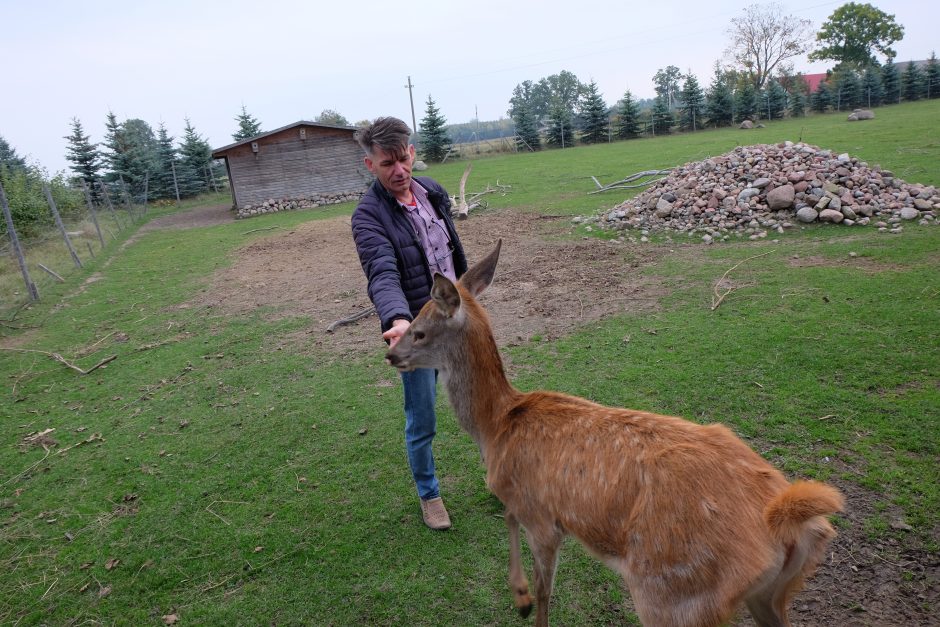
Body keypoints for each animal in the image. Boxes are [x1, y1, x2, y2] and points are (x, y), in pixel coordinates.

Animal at [384, 242, 844, 627]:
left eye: (420, 330)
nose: (391, 353)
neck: (496, 427)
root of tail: (789, 522)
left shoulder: (542, 516)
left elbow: (546, 591)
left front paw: (526, 600)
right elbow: (509, 519)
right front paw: (518, 595)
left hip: (672, 594)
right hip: (769, 595)